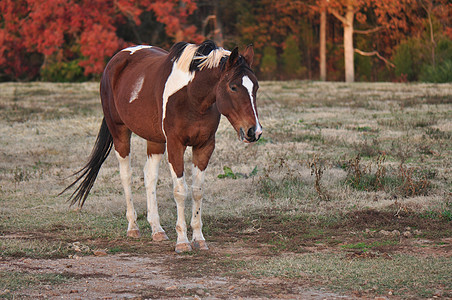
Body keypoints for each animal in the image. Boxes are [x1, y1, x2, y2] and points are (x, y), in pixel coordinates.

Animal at [61, 40, 264, 253]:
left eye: (256, 87)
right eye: (233, 87)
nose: (254, 131)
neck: (191, 98)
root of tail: (116, 60)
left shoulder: (205, 146)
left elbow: (197, 191)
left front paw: (199, 238)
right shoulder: (175, 145)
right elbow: (180, 191)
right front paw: (182, 241)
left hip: (155, 140)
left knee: (149, 176)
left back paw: (157, 229)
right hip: (119, 132)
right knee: (126, 175)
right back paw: (133, 227)